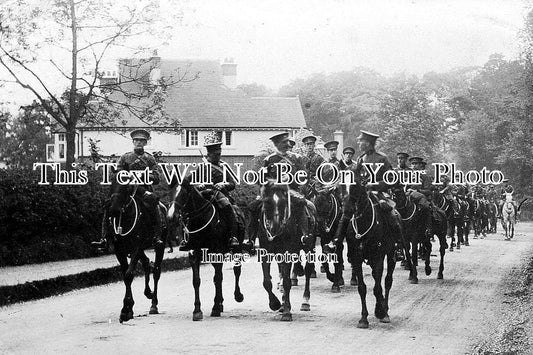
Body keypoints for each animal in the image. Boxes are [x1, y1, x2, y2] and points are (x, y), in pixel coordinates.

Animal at [105, 181, 167, 322]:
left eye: (126, 186)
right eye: (111, 182)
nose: (113, 209)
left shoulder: (136, 247)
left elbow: (129, 275)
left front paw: (126, 309)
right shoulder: (119, 251)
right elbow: (126, 275)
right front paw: (128, 309)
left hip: (160, 246)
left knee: (156, 271)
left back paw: (154, 304)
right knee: (146, 262)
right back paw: (148, 292)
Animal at [167, 179, 244, 322]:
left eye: (184, 193)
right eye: (171, 192)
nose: (171, 217)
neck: (201, 219)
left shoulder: (217, 252)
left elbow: (218, 278)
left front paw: (215, 308)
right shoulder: (194, 253)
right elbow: (197, 281)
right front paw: (197, 311)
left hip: (237, 249)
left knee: (236, 271)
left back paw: (237, 296)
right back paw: (220, 302)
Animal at [258, 182, 314, 322]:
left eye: (284, 202)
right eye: (267, 202)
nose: (276, 226)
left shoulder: (286, 253)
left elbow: (287, 282)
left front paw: (287, 312)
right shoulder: (265, 253)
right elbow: (267, 281)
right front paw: (275, 304)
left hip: (309, 248)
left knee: (308, 271)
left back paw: (305, 301)